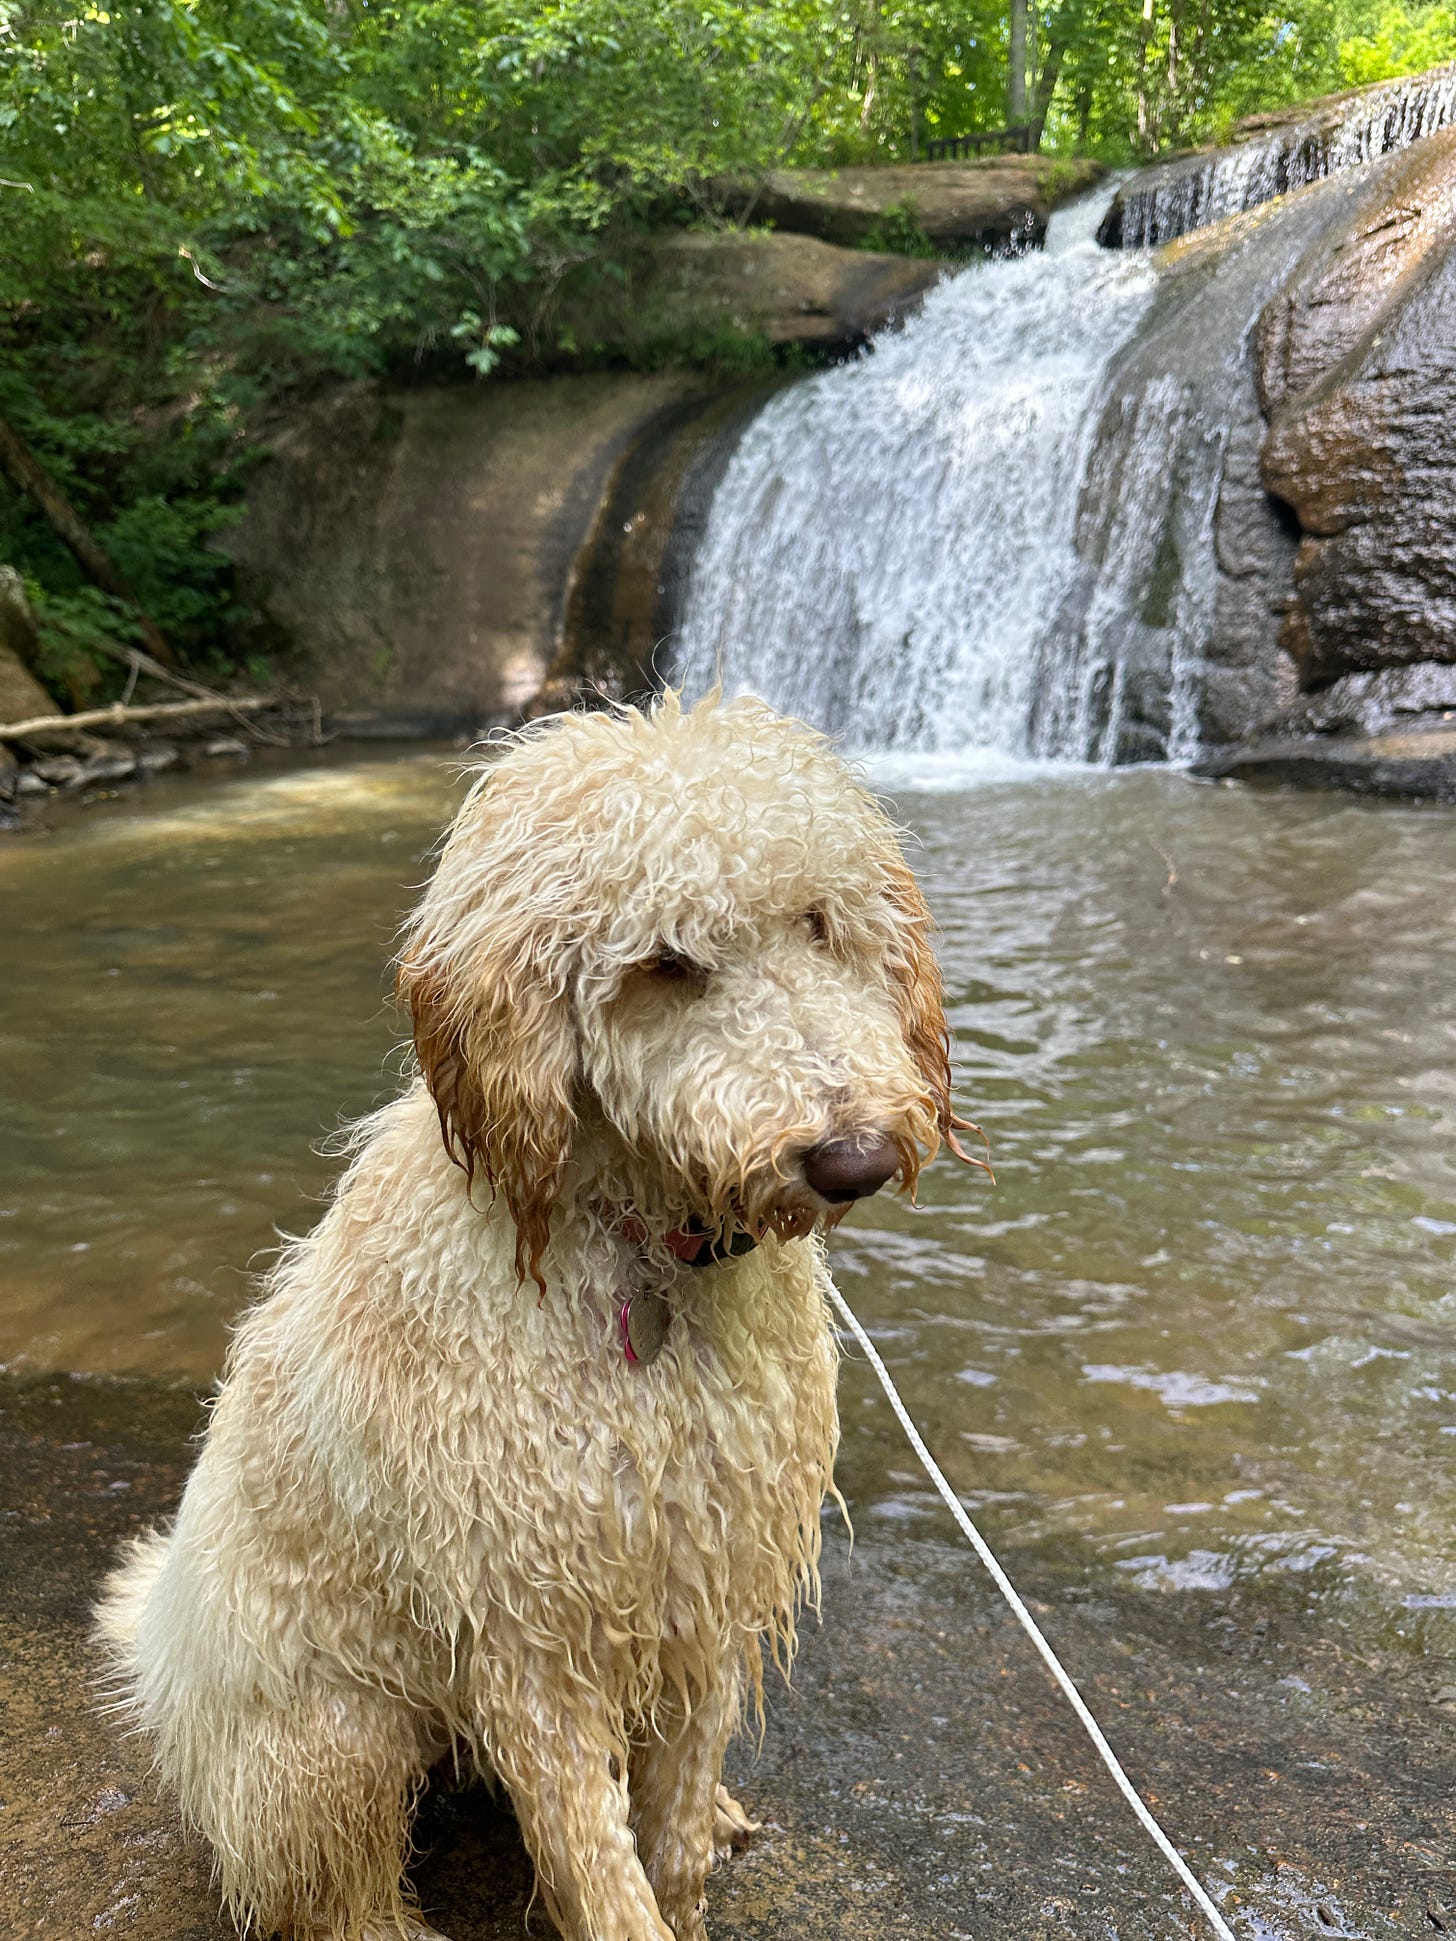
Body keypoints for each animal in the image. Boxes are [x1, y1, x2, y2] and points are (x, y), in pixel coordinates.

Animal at [97, 698, 974, 1941]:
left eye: (818, 921)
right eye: (664, 963)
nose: (850, 1156)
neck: (643, 1250)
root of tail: (163, 1651)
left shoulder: (701, 1574)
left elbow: (672, 1820)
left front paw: (691, 1855)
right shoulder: (527, 1629)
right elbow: (594, 1857)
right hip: (328, 1741)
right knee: (328, 1892)